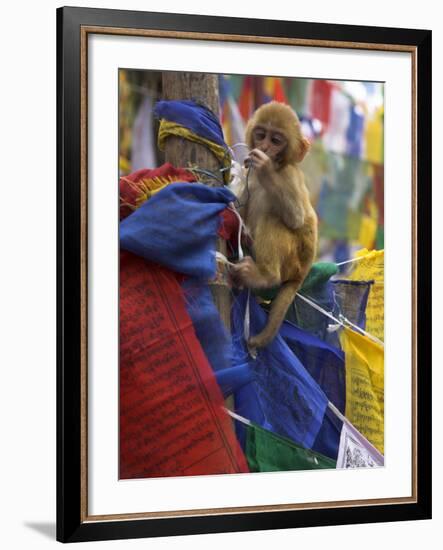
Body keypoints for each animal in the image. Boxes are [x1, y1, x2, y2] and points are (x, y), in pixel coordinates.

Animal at [232, 101, 320, 350]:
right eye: (261, 134)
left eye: (276, 140)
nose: (263, 147)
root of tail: (303, 272)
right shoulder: (248, 176)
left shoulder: (290, 175)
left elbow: (297, 218)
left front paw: (265, 168)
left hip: (293, 262)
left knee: (273, 218)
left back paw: (266, 276)